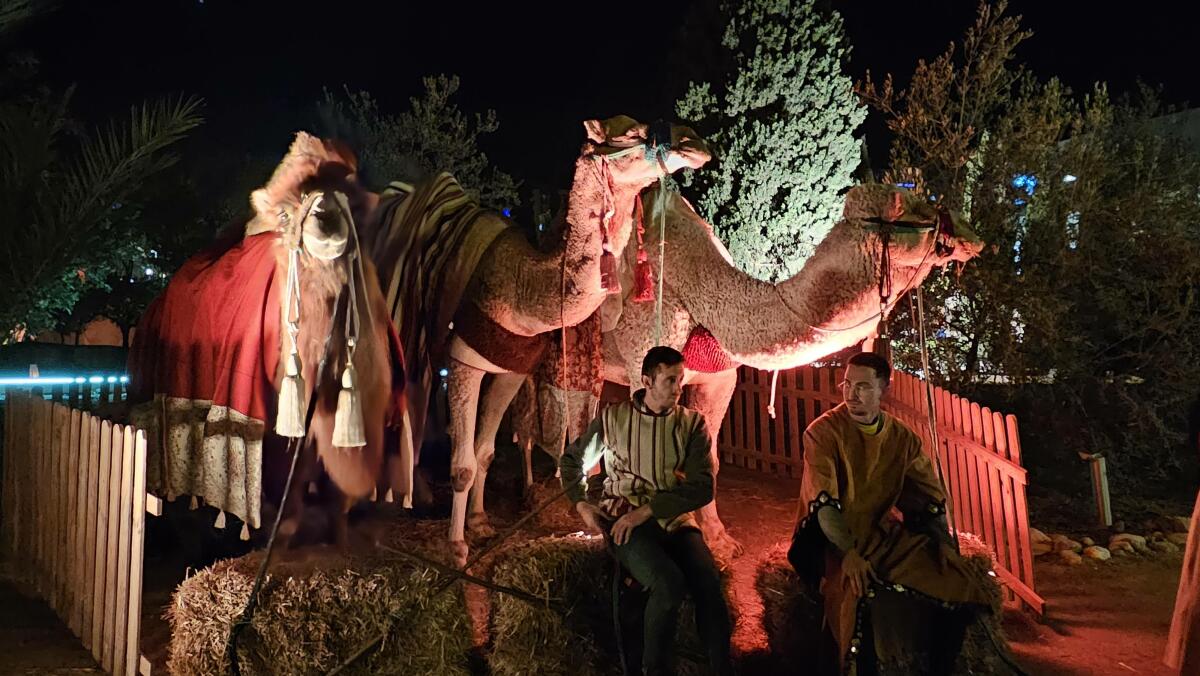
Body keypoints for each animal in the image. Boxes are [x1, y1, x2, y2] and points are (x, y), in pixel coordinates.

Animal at [506, 181, 984, 561]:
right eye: (918, 206)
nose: (971, 233)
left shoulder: (718, 379)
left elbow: (710, 458)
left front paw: (719, 540)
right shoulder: (646, 351)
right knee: (529, 419)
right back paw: (527, 499)